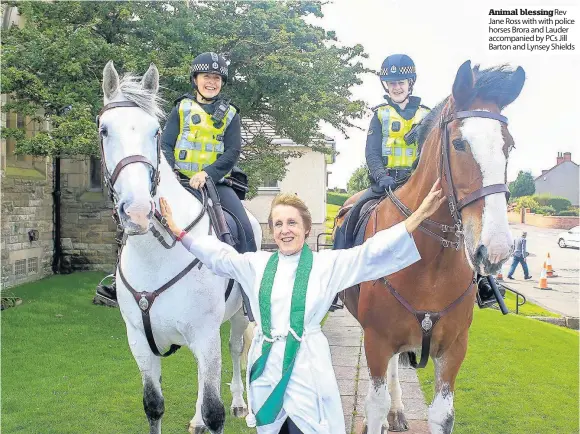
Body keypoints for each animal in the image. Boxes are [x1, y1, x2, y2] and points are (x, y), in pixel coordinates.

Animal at [100, 62, 262, 434]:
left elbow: (215, 409)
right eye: (104, 130)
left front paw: (217, 412)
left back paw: (239, 403)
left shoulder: (205, 336)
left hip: (235, 320)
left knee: (234, 351)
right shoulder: (140, 343)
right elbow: (154, 405)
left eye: (155, 132)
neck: (156, 255)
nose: (138, 211)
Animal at [336, 62, 524, 434]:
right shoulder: (377, 341)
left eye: (508, 146)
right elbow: (375, 403)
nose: (496, 250)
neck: (430, 268)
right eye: (459, 143)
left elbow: (442, 414)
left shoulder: (453, 349)